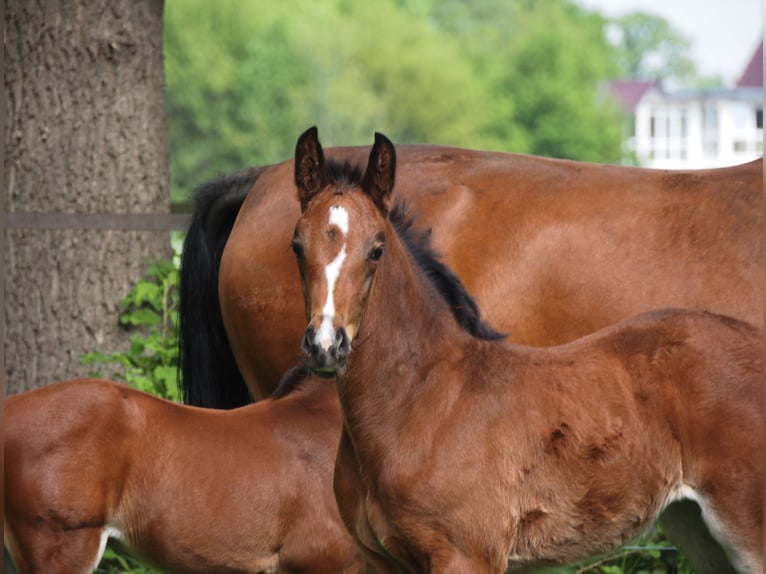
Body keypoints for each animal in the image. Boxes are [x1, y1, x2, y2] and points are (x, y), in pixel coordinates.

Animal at [290, 128, 764, 574]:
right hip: (696, 529)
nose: (326, 345)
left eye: (377, 248)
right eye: (296, 245)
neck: (424, 402)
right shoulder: (382, 561)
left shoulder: (468, 556)